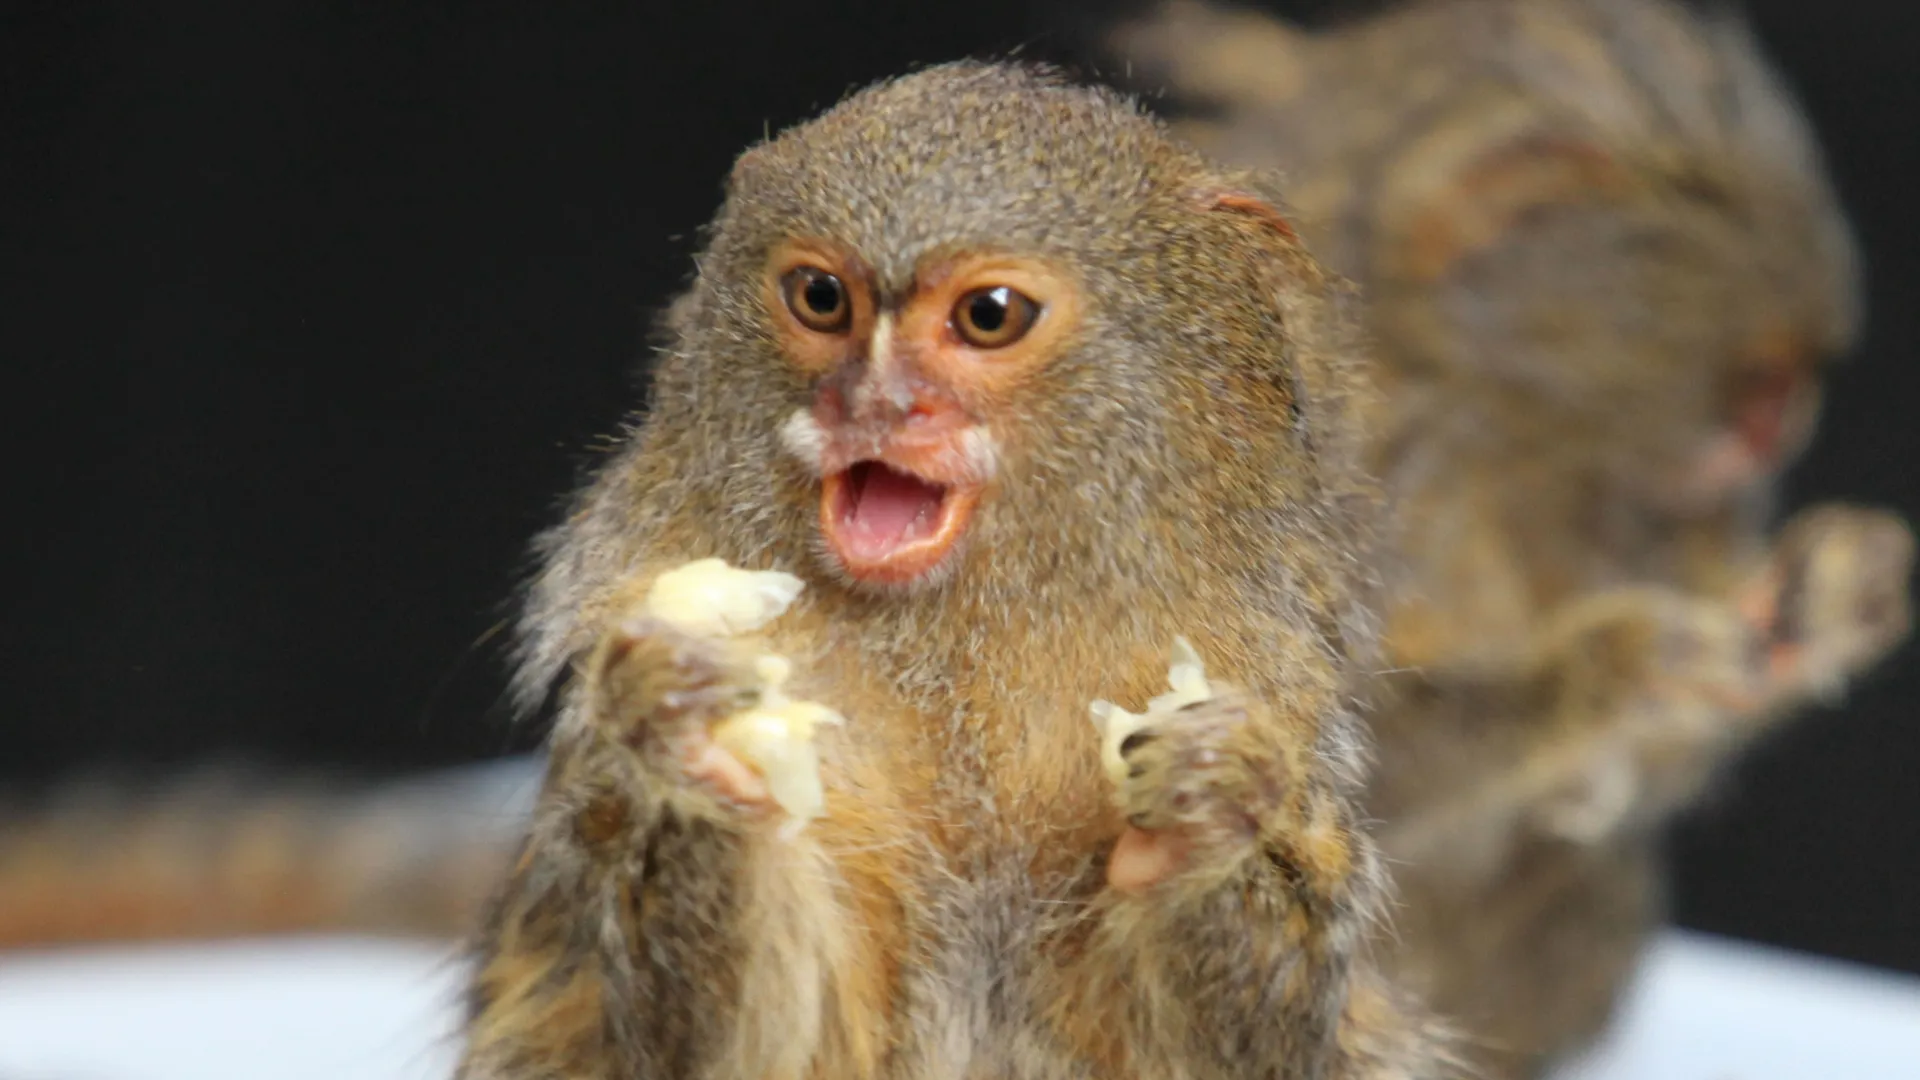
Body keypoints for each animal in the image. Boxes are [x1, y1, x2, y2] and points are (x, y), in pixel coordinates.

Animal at [453, 60, 1457, 1080]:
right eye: (822, 299)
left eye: (987, 317)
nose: (875, 403)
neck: (954, 647)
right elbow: (712, 1047)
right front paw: (690, 741)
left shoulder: (1276, 678)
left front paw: (1211, 809)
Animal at [1111, 0, 1914, 1075]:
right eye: (1754, 384)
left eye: (1785, 384)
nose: (1778, 421)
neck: (1505, 436)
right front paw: (1611, 667)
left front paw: (1816, 611)